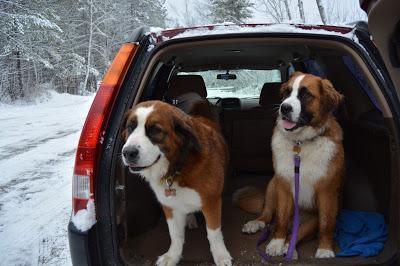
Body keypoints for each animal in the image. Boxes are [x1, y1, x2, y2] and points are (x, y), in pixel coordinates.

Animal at [120, 100, 231, 266]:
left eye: (155, 130)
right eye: (130, 127)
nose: (128, 153)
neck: (179, 167)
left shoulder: (211, 202)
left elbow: (213, 234)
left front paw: (220, 255)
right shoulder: (169, 206)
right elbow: (175, 235)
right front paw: (173, 256)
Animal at [236, 71, 346, 258]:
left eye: (306, 95)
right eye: (287, 92)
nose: (284, 108)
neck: (301, 143)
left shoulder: (327, 190)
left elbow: (326, 222)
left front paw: (325, 249)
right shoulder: (284, 184)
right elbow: (280, 217)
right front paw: (275, 242)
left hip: (310, 219)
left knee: (297, 232)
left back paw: (290, 248)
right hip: (273, 184)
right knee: (268, 214)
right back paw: (258, 224)